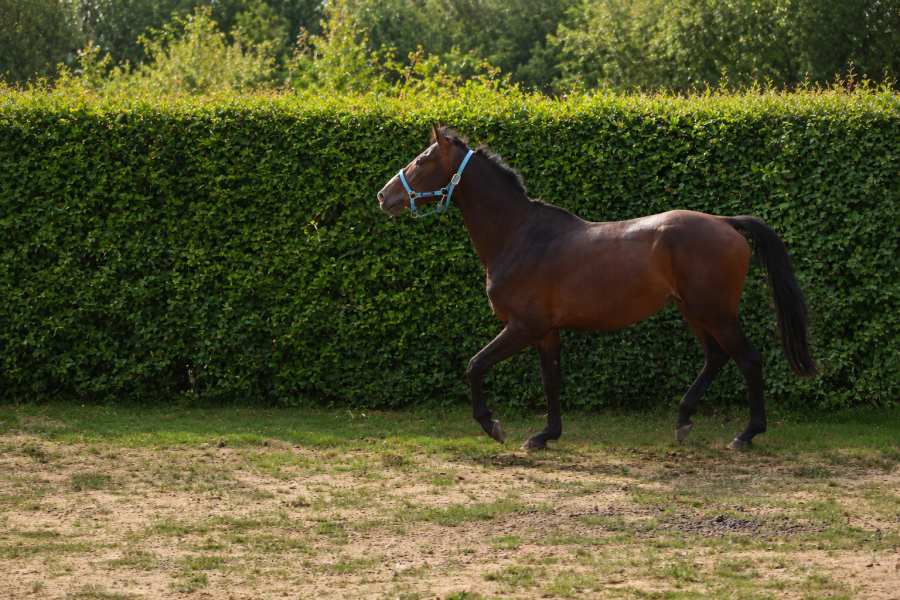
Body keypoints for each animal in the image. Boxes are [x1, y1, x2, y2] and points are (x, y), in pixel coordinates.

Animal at [377, 124, 818, 451]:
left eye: (422, 160)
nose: (384, 196)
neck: (519, 234)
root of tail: (727, 223)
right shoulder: (546, 332)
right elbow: (551, 381)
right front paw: (545, 435)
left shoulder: (522, 327)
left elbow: (475, 365)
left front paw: (492, 425)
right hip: (693, 310)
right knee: (715, 358)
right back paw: (683, 420)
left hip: (716, 313)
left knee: (749, 359)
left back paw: (747, 434)